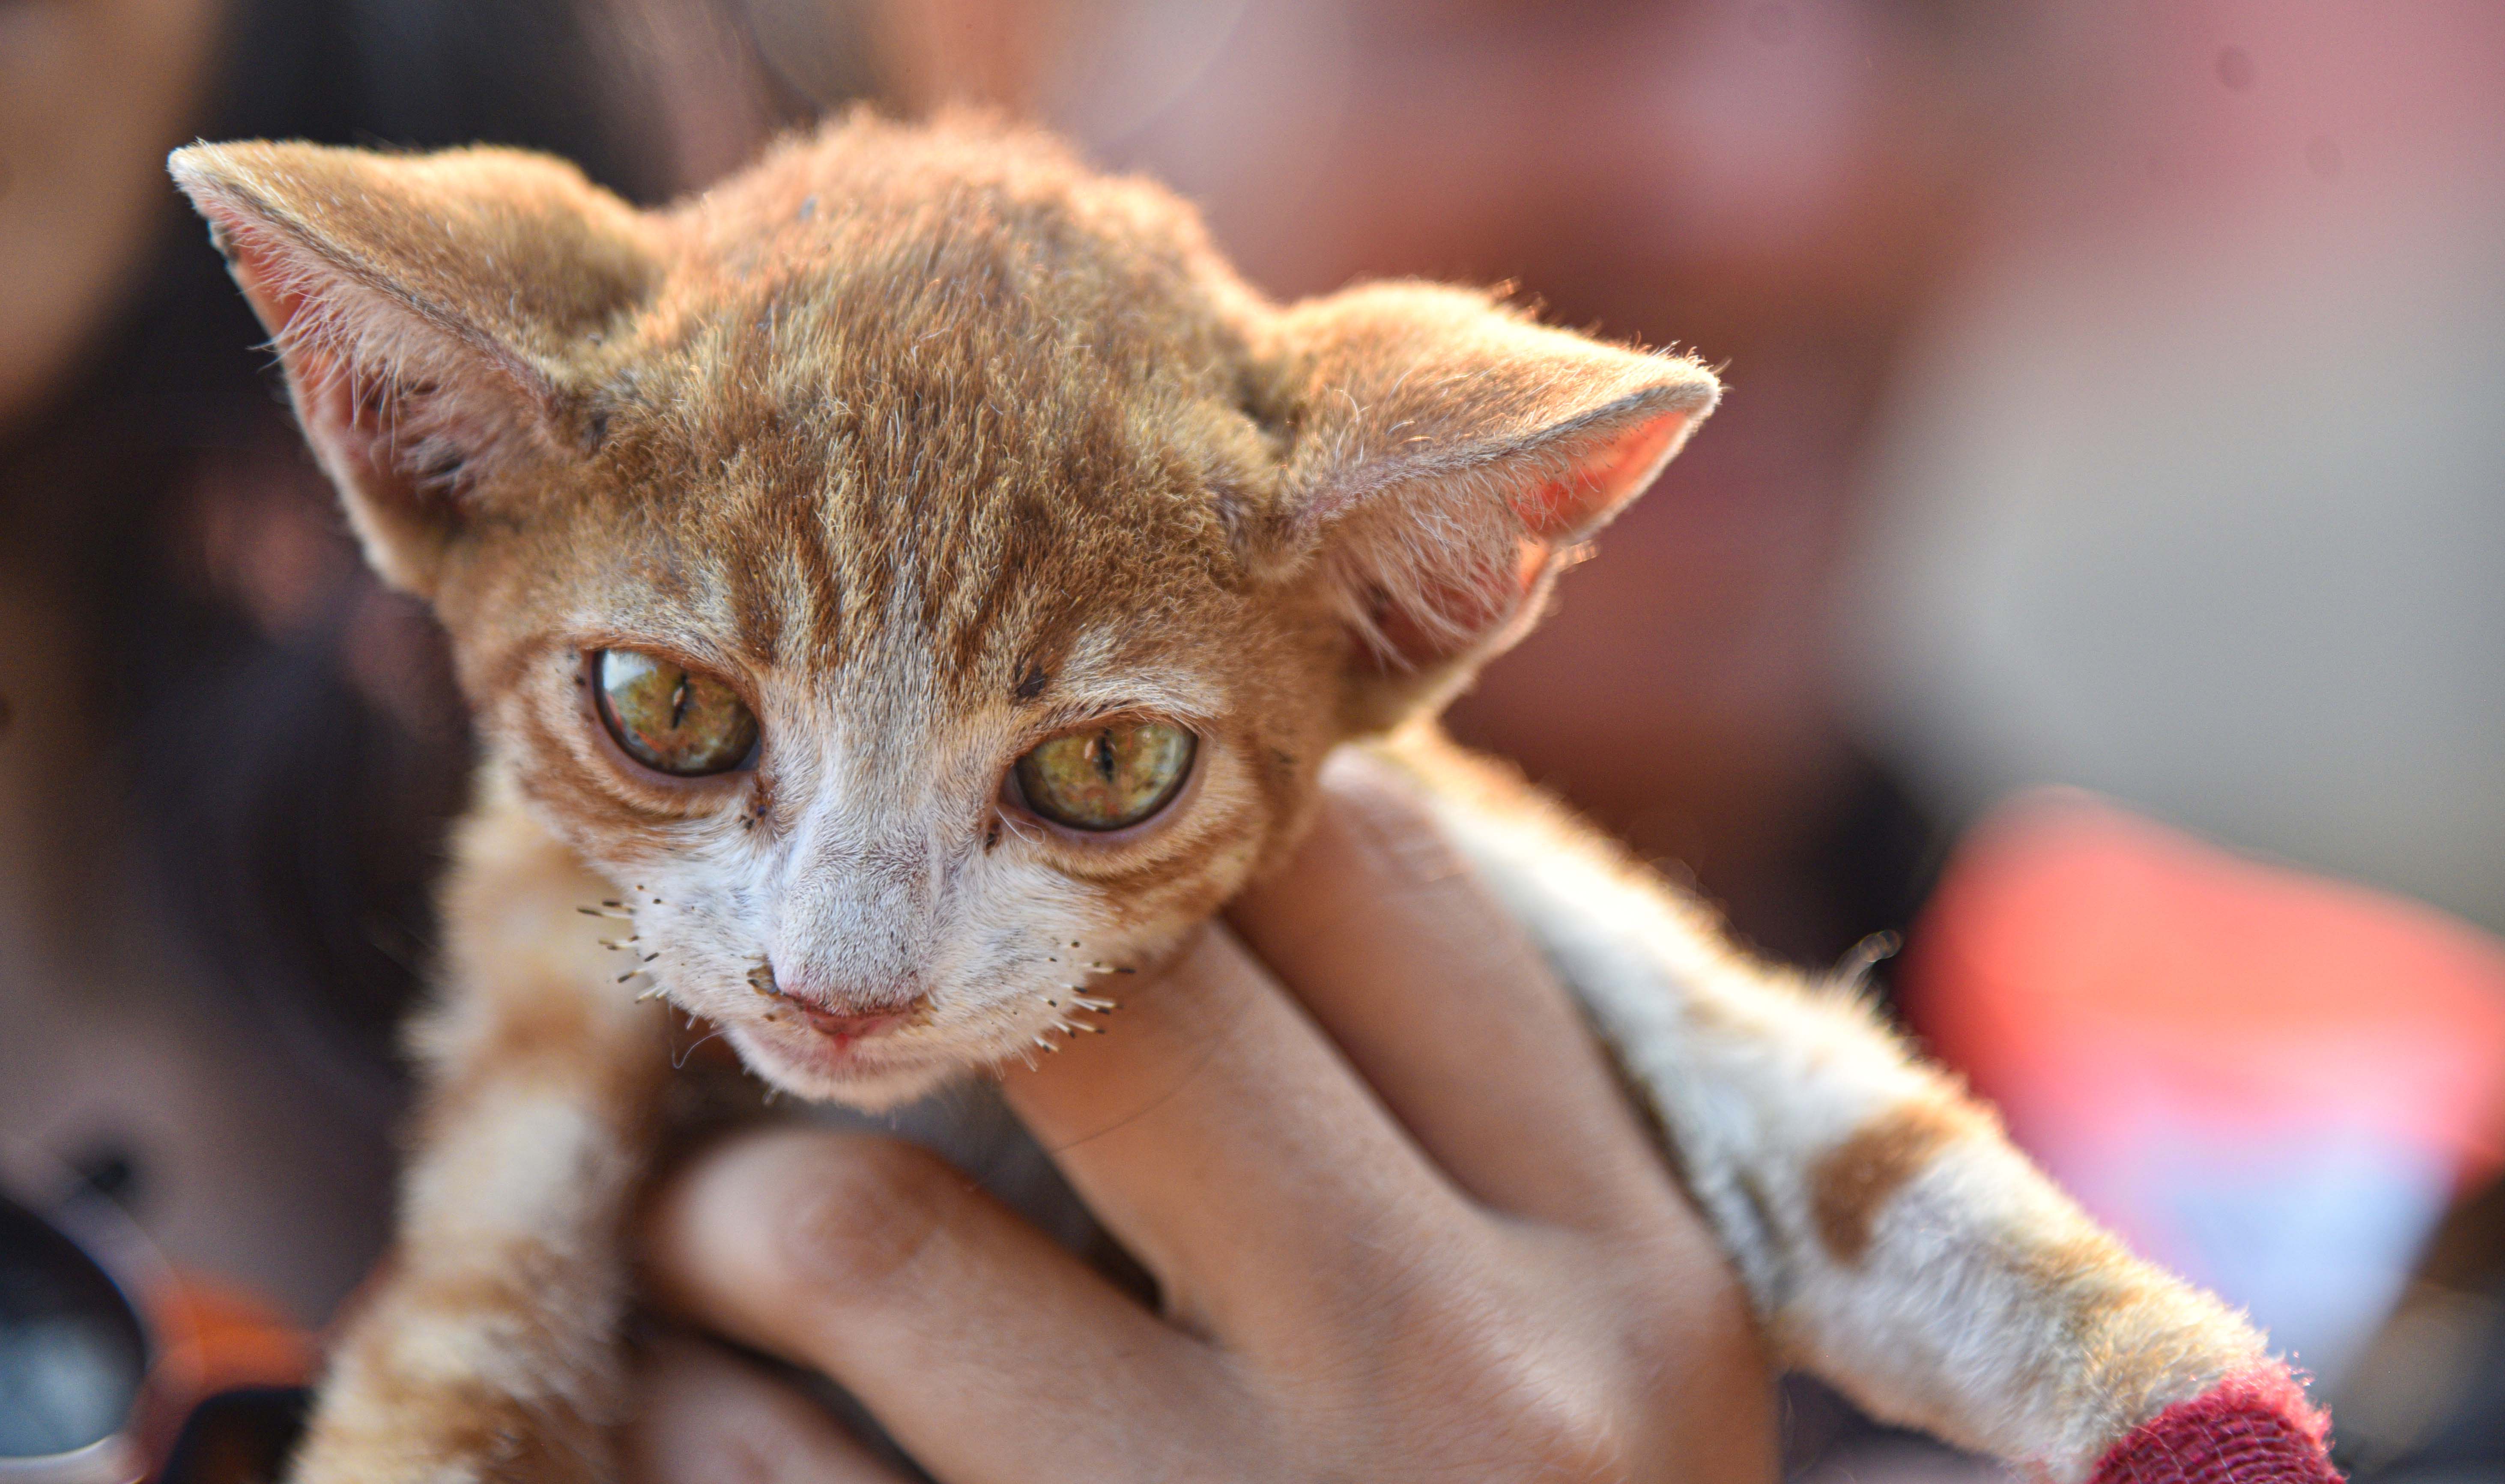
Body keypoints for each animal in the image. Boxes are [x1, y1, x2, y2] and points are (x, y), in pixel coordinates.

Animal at [171, 116, 2294, 1484]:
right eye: (669, 707)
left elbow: (1832, 1134)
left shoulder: (1467, 846)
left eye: (1103, 765)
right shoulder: (543, 975)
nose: (838, 995)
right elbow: (466, 1325)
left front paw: (2175, 1400)